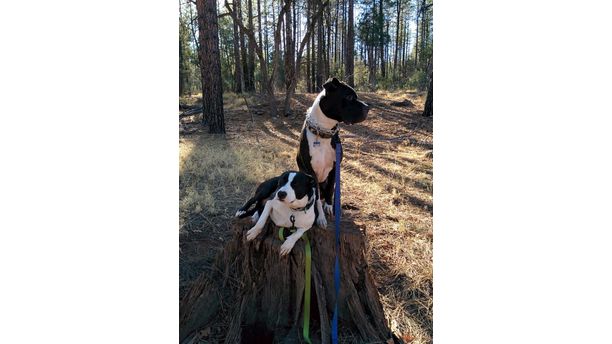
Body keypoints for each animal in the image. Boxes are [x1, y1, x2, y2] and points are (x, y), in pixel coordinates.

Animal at [296, 77, 368, 223]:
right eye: (349, 96)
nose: (368, 107)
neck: (323, 132)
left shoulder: (334, 168)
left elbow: (330, 190)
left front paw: (329, 207)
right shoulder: (311, 172)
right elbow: (317, 198)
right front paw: (320, 217)